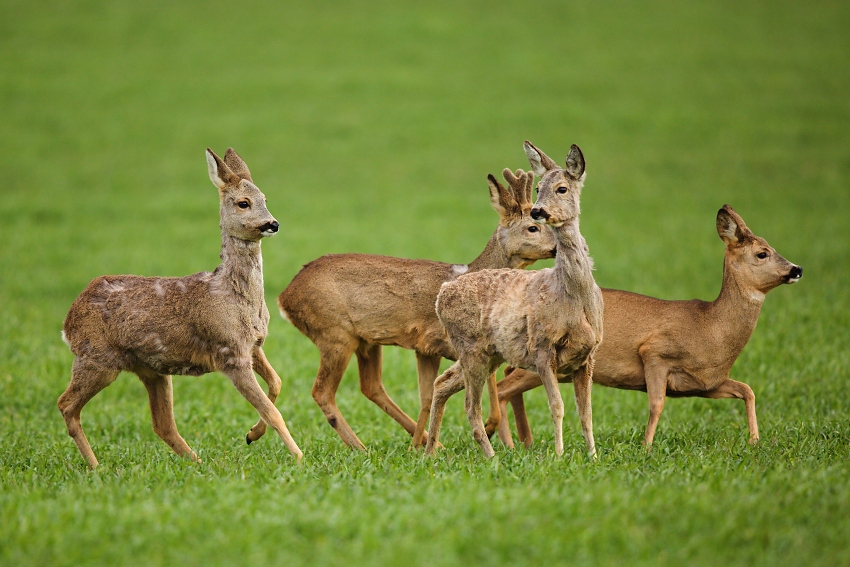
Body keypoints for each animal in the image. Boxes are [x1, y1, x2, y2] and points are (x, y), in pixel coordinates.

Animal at [58, 148, 303, 468]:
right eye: (243, 203)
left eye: (265, 198)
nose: (272, 224)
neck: (234, 295)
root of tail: (68, 322)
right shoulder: (230, 353)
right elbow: (272, 412)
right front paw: (300, 458)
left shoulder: (253, 346)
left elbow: (277, 383)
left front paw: (251, 435)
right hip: (97, 359)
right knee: (66, 404)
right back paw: (97, 467)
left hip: (152, 370)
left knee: (162, 424)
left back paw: (198, 463)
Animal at [250, 168, 556, 451]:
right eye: (533, 227)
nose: (556, 248)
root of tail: (285, 296)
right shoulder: (439, 341)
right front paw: (486, 429)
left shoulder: (428, 349)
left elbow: (429, 394)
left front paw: (425, 444)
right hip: (334, 334)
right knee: (322, 391)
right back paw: (360, 447)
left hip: (366, 341)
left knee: (371, 386)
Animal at [424, 142, 604, 459]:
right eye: (538, 188)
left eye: (562, 188)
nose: (538, 211)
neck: (573, 297)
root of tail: (443, 292)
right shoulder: (542, 347)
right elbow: (557, 406)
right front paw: (559, 456)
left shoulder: (588, 355)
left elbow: (586, 413)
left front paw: (593, 457)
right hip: (470, 348)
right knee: (470, 406)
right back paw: (491, 456)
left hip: (489, 353)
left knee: (443, 382)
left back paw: (429, 453)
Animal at [486, 204, 803, 450]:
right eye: (762, 253)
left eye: (774, 249)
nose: (796, 269)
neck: (711, 326)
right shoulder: (655, 352)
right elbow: (656, 404)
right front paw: (646, 447)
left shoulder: (706, 382)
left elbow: (747, 390)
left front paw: (754, 441)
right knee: (502, 388)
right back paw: (507, 443)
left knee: (507, 378)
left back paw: (521, 441)